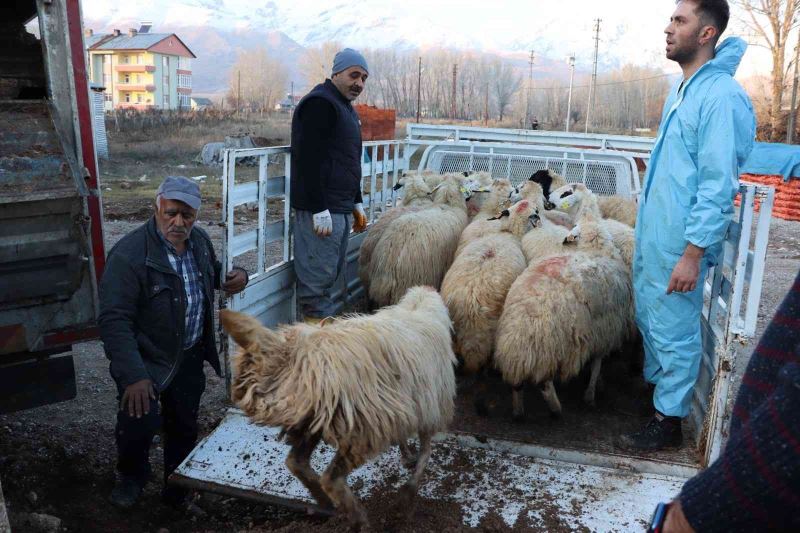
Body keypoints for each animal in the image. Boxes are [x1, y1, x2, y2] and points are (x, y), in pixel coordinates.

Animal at [220, 288, 456, 528]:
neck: (420, 306)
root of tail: (290, 352)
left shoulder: (407, 406)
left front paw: (407, 457)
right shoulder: (430, 408)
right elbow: (426, 453)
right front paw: (407, 495)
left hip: (314, 417)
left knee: (296, 462)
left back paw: (325, 502)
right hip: (359, 425)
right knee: (331, 477)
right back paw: (358, 518)